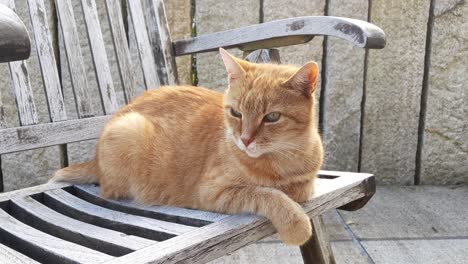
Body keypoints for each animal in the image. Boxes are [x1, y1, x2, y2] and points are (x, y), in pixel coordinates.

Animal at [51, 48, 322, 245]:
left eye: (272, 117)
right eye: (236, 113)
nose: (245, 139)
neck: (283, 160)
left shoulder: (305, 182)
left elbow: (295, 189)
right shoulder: (214, 191)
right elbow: (267, 194)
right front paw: (296, 224)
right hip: (130, 129)